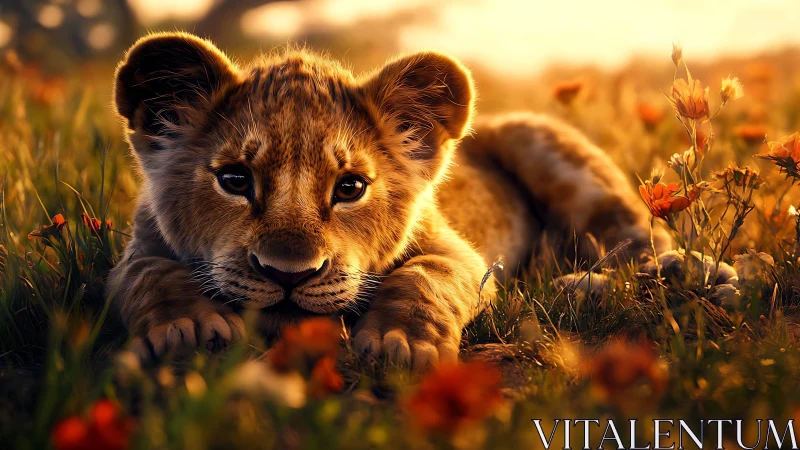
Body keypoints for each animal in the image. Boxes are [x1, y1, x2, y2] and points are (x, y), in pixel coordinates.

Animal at [108, 32, 721, 370]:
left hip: (554, 151)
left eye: (350, 188)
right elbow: (150, 275)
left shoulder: (463, 256)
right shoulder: (136, 251)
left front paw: (397, 343)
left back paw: (687, 274)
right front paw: (185, 329)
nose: (288, 273)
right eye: (235, 180)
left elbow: (423, 278)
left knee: (638, 236)